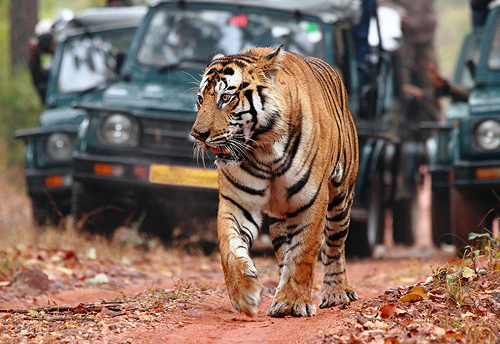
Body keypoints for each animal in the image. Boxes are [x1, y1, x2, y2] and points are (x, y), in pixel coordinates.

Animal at [191, 45, 360, 318]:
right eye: (199, 99)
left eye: (225, 98)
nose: (197, 135)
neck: (264, 149)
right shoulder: (237, 202)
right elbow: (229, 247)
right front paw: (245, 294)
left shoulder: (312, 200)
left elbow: (304, 253)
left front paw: (293, 302)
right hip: (281, 217)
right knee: (284, 252)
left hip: (341, 198)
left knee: (334, 245)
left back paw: (337, 292)